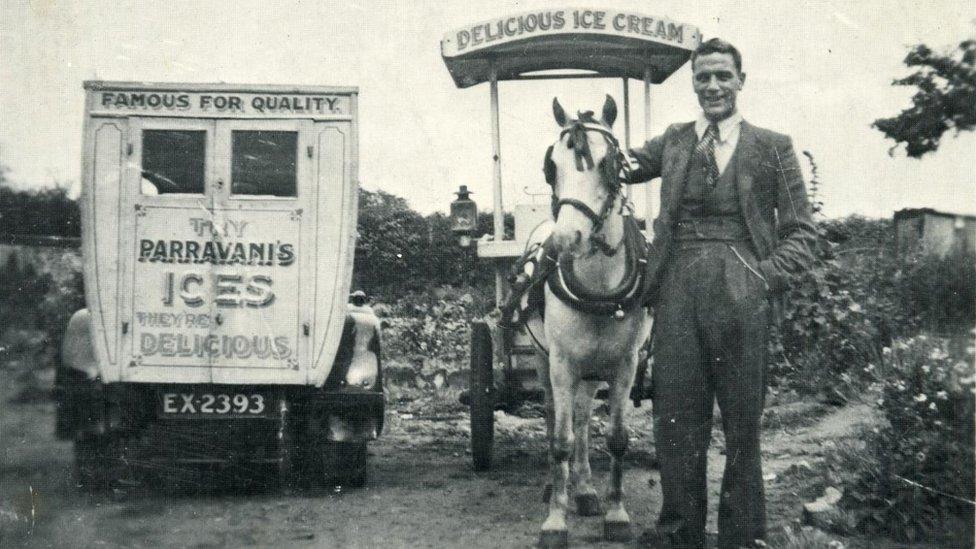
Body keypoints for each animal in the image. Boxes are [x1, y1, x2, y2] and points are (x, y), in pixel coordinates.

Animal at [524, 96, 652, 544]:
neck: (598, 285)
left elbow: (615, 438)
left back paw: (583, 488)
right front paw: (554, 520)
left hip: (593, 369)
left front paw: (615, 512)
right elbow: (560, 440)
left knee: (581, 418)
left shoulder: (625, 364)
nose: (567, 239)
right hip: (545, 360)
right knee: (553, 415)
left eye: (609, 162)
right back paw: (553, 485)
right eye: (552, 165)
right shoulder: (562, 362)